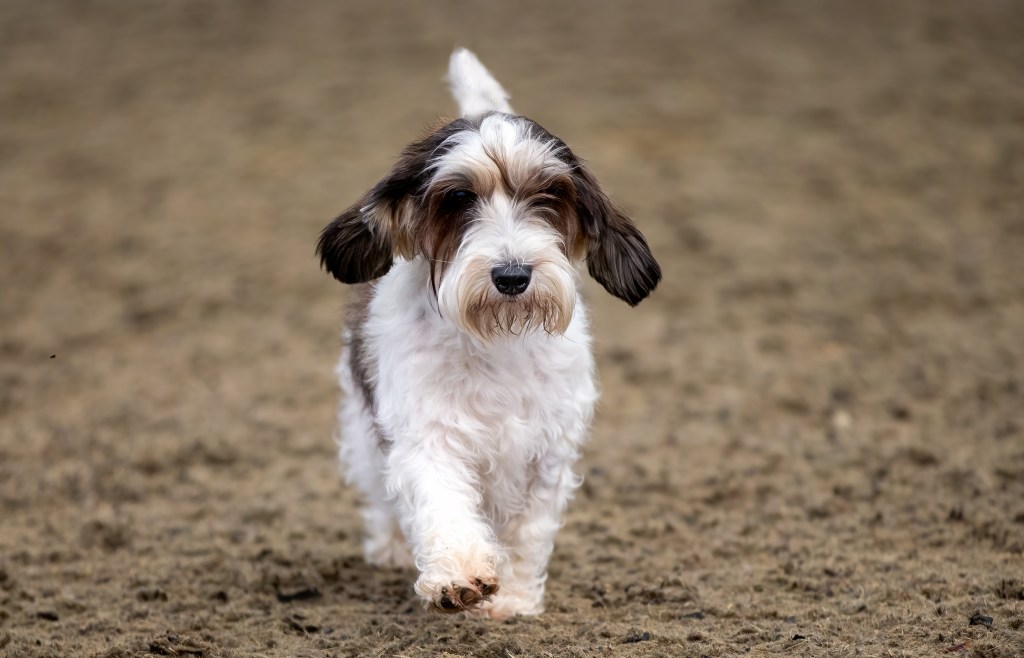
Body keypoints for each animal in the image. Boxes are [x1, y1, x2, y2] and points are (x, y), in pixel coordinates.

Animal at [315, 48, 659, 622]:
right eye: (458, 196)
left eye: (549, 193)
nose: (512, 275)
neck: (496, 341)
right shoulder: (427, 435)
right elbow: (442, 502)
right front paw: (459, 577)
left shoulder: (546, 451)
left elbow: (527, 532)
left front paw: (513, 600)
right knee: (381, 497)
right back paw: (390, 550)